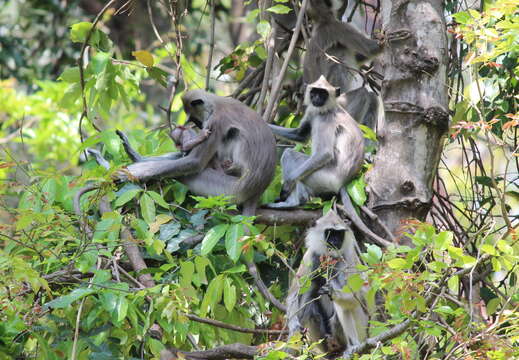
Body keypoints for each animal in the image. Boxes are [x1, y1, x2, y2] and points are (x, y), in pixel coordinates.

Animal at [115, 89, 276, 215]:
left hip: (230, 190)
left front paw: (135, 172)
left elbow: (195, 162)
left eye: (193, 118)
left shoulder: (215, 122)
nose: (198, 125)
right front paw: (136, 158)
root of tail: (258, 189)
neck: (216, 104)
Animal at [266, 75, 364, 208]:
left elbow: (324, 153)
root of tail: (344, 182)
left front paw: (287, 184)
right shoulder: (312, 111)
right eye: (314, 92)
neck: (327, 109)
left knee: (289, 155)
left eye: (323, 94)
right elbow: (300, 135)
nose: (317, 98)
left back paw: (295, 201)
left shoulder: (325, 119)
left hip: (324, 178)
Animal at [286, 210, 372, 356]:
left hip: (361, 327)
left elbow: (357, 297)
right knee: (309, 297)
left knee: (342, 307)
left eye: (339, 234)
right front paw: (294, 326)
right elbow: (294, 294)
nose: (335, 241)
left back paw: (353, 346)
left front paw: (333, 292)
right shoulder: (310, 256)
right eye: (330, 233)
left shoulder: (347, 258)